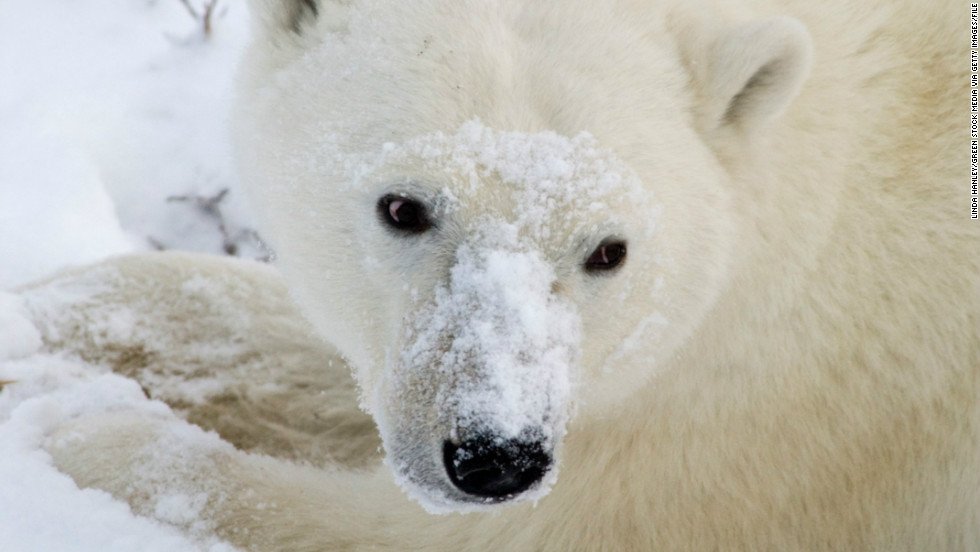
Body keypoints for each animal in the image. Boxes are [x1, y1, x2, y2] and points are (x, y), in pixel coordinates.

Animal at [20, 0, 980, 549]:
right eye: (403, 206)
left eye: (608, 249)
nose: (494, 457)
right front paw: (38, 332)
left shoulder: (753, 443)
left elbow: (405, 534)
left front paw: (75, 426)